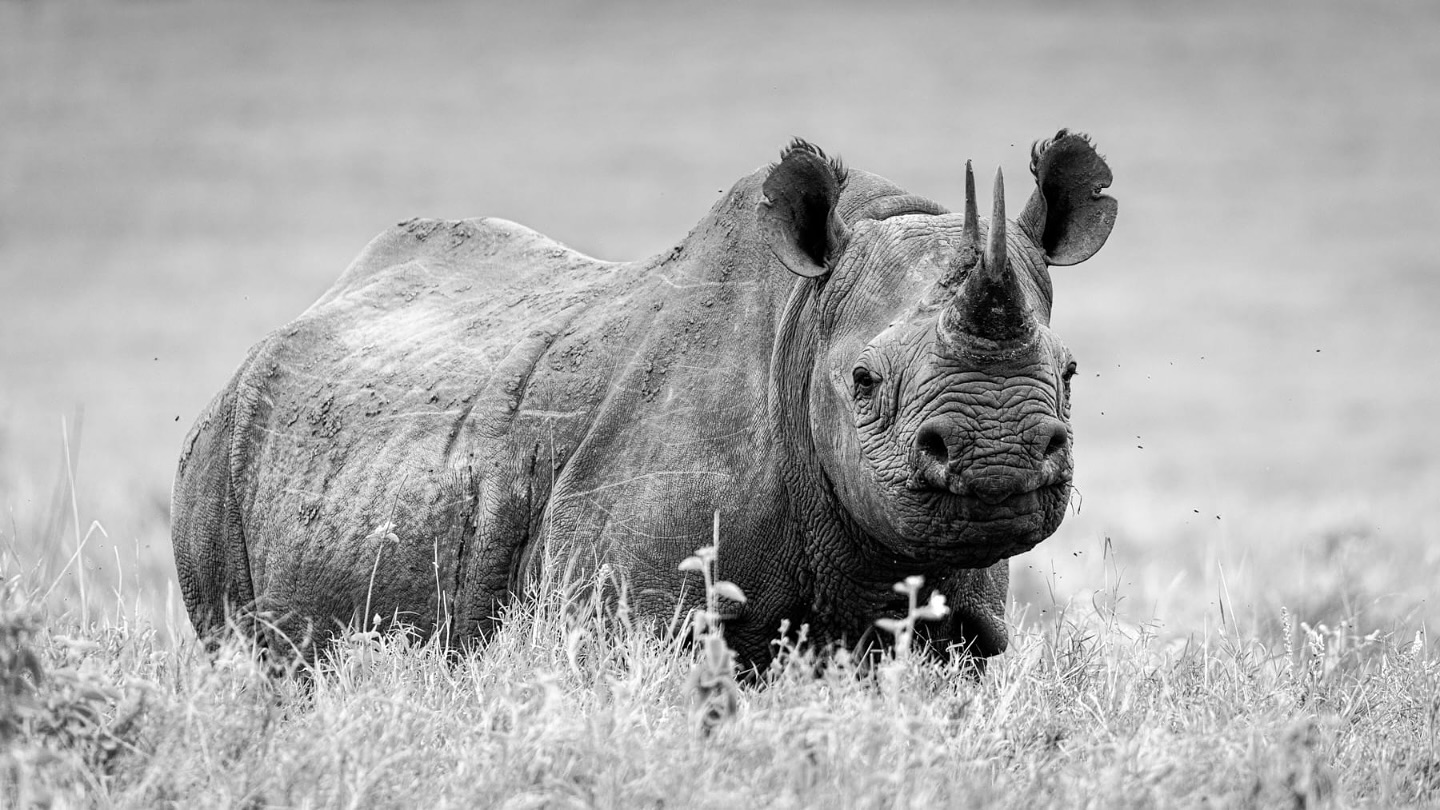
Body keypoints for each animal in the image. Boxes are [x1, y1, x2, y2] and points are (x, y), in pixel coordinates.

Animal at [171, 129, 1116, 669]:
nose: (997, 456)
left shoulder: (957, 624)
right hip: (217, 458)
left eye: (1071, 373)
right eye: (863, 382)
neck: (803, 325)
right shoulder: (631, 616)